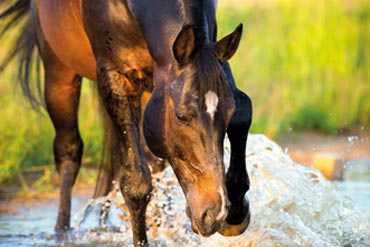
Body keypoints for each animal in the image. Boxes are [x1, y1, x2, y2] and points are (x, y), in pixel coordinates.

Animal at [0, 0, 253, 245]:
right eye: (181, 116)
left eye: (226, 114)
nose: (214, 213)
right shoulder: (115, 77)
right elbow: (136, 183)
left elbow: (243, 107)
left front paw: (237, 212)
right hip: (59, 72)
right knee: (68, 150)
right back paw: (62, 231)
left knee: (153, 162)